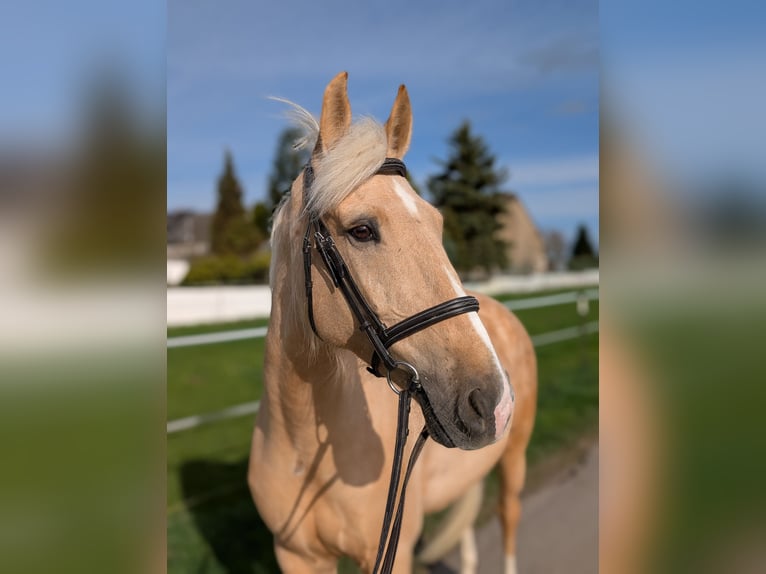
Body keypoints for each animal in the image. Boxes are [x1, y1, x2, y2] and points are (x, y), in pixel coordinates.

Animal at [249, 72, 537, 574]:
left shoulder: (393, 552)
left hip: (515, 456)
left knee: (508, 516)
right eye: (361, 230)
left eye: (437, 224)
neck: (301, 446)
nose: (493, 402)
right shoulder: (296, 556)